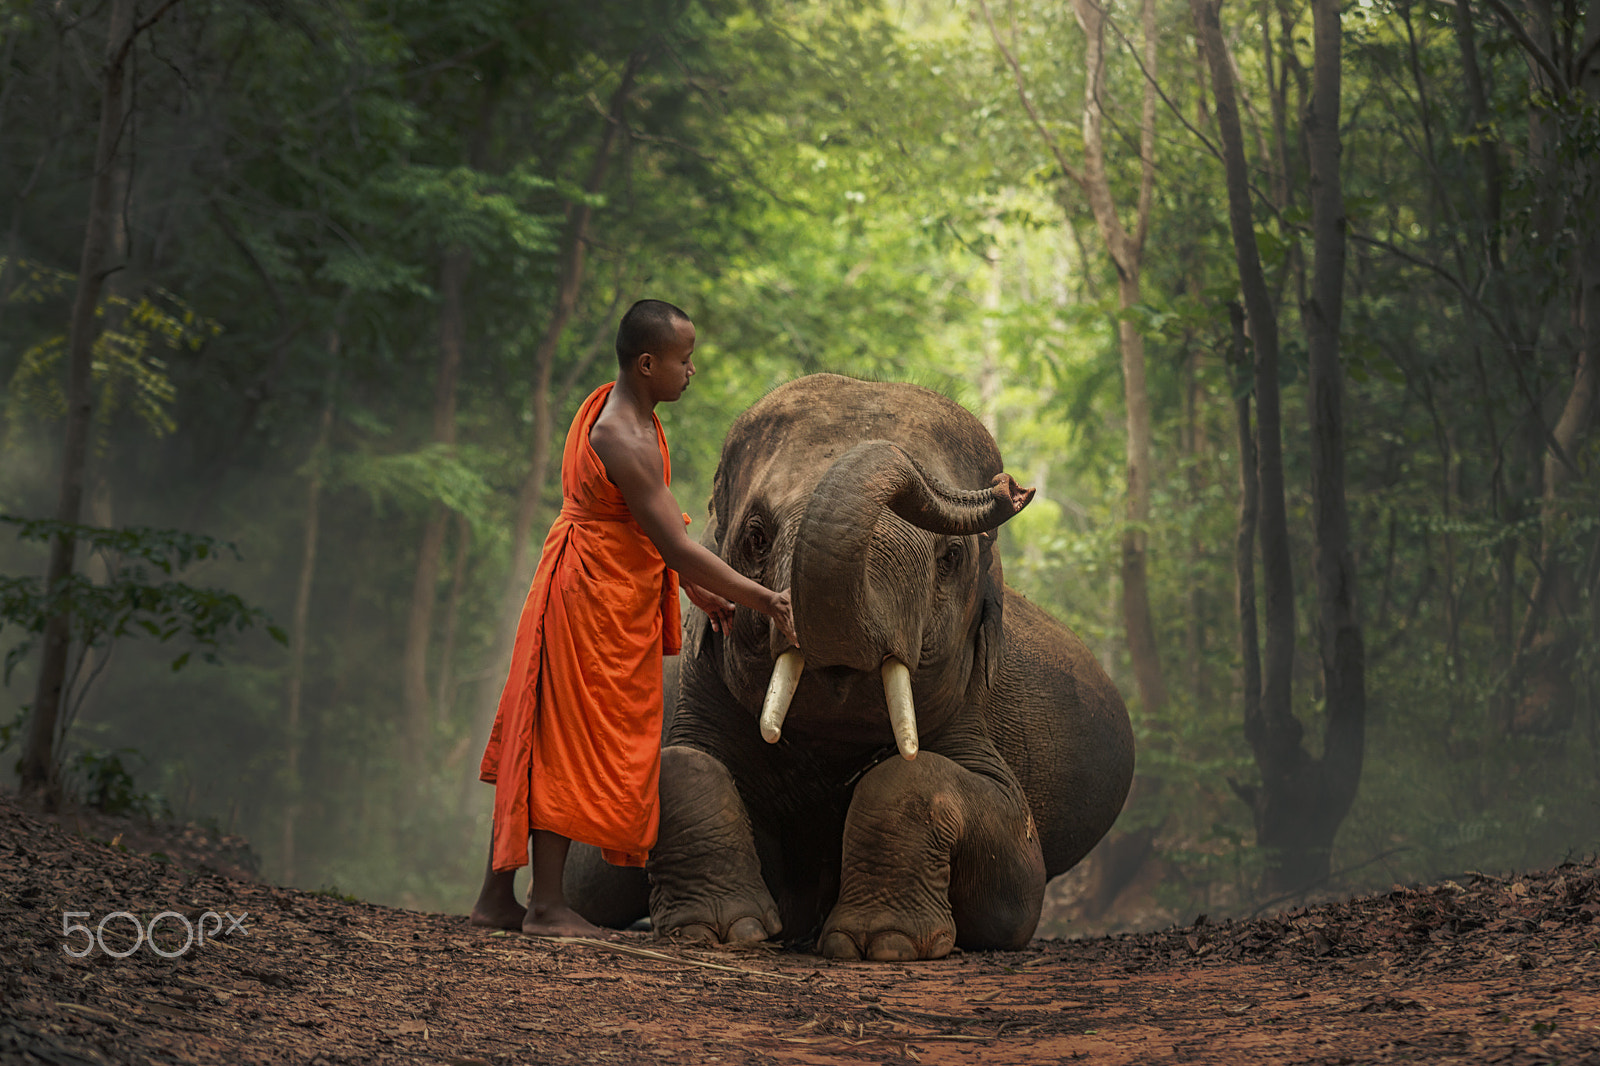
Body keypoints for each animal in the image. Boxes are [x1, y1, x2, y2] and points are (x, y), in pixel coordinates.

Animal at [569, 369, 1132, 960]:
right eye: (755, 537)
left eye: (952, 558)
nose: (1011, 488)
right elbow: (681, 763)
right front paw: (721, 932)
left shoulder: (973, 709)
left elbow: (1014, 885)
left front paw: (882, 945)